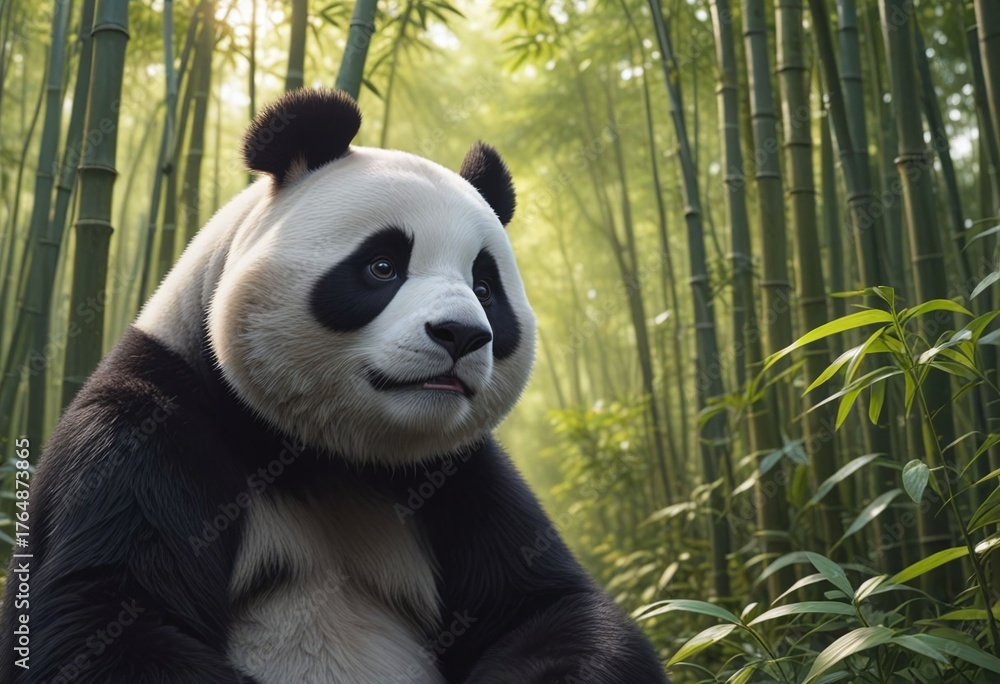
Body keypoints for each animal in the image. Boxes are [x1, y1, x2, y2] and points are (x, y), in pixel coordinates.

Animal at [0, 89, 667, 684]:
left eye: (484, 287)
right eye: (383, 266)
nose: (461, 335)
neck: (330, 457)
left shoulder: (460, 473)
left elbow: (549, 610)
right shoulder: (145, 434)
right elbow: (110, 625)